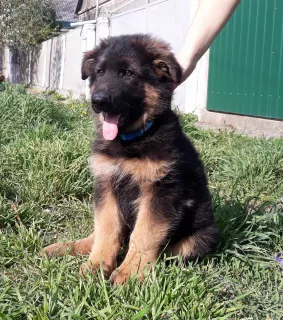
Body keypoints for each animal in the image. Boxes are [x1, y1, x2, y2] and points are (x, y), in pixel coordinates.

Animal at [42, 34, 219, 284]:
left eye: (128, 73)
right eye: (100, 72)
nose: (97, 101)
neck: (131, 139)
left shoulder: (160, 192)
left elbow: (144, 234)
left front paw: (130, 272)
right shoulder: (106, 183)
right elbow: (106, 229)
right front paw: (97, 265)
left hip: (202, 237)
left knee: (168, 251)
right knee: (98, 234)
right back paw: (66, 248)